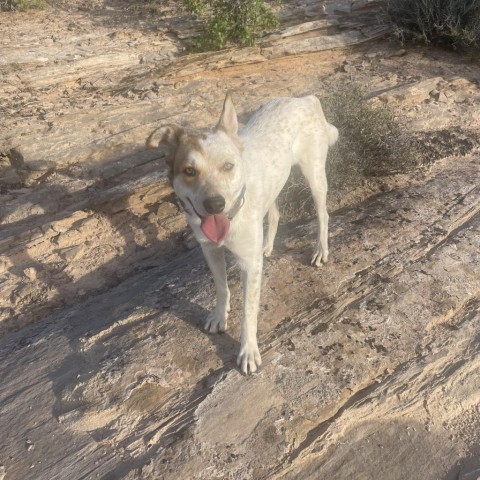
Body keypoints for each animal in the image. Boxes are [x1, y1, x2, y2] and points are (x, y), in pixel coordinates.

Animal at [146, 92, 338, 374]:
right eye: (189, 171)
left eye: (228, 166)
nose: (215, 204)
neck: (233, 217)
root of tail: (304, 98)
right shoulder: (210, 250)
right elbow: (222, 287)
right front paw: (219, 316)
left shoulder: (249, 264)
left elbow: (249, 311)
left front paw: (248, 351)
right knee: (274, 213)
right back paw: (267, 246)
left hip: (314, 175)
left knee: (323, 214)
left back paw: (320, 250)